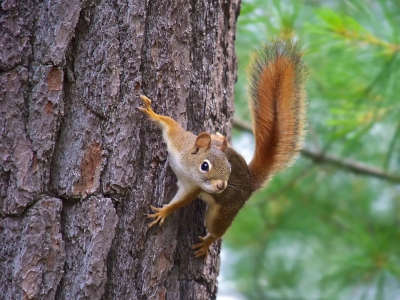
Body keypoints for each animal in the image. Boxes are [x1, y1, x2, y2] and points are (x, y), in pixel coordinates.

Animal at [137, 35, 306, 258]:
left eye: (229, 170)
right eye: (205, 166)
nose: (222, 186)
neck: (186, 167)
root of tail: (250, 184)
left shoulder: (192, 187)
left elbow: (181, 201)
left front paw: (164, 211)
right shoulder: (178, 140)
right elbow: (169, 123)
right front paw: (151, 112)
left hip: (225, 211)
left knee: (217, 229)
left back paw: (207, 242)